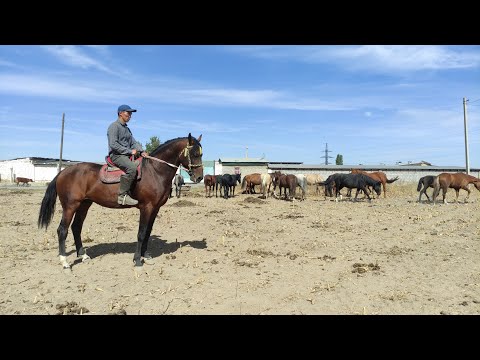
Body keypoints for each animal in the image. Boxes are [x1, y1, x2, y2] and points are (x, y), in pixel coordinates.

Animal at [37, 133, 202, 270]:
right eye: (194, 153)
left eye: (201, 154)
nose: (199, 177)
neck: (155, 171)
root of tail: (62, 172)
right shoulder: (146, 207)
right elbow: (141, 233)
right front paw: (137, 260)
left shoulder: (155, 209)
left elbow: (148, 232)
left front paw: (146, 256)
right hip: (70, 206)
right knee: (62, 230)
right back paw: (64, 262)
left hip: (84, 205)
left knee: (76, 227)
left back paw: (83, 255)